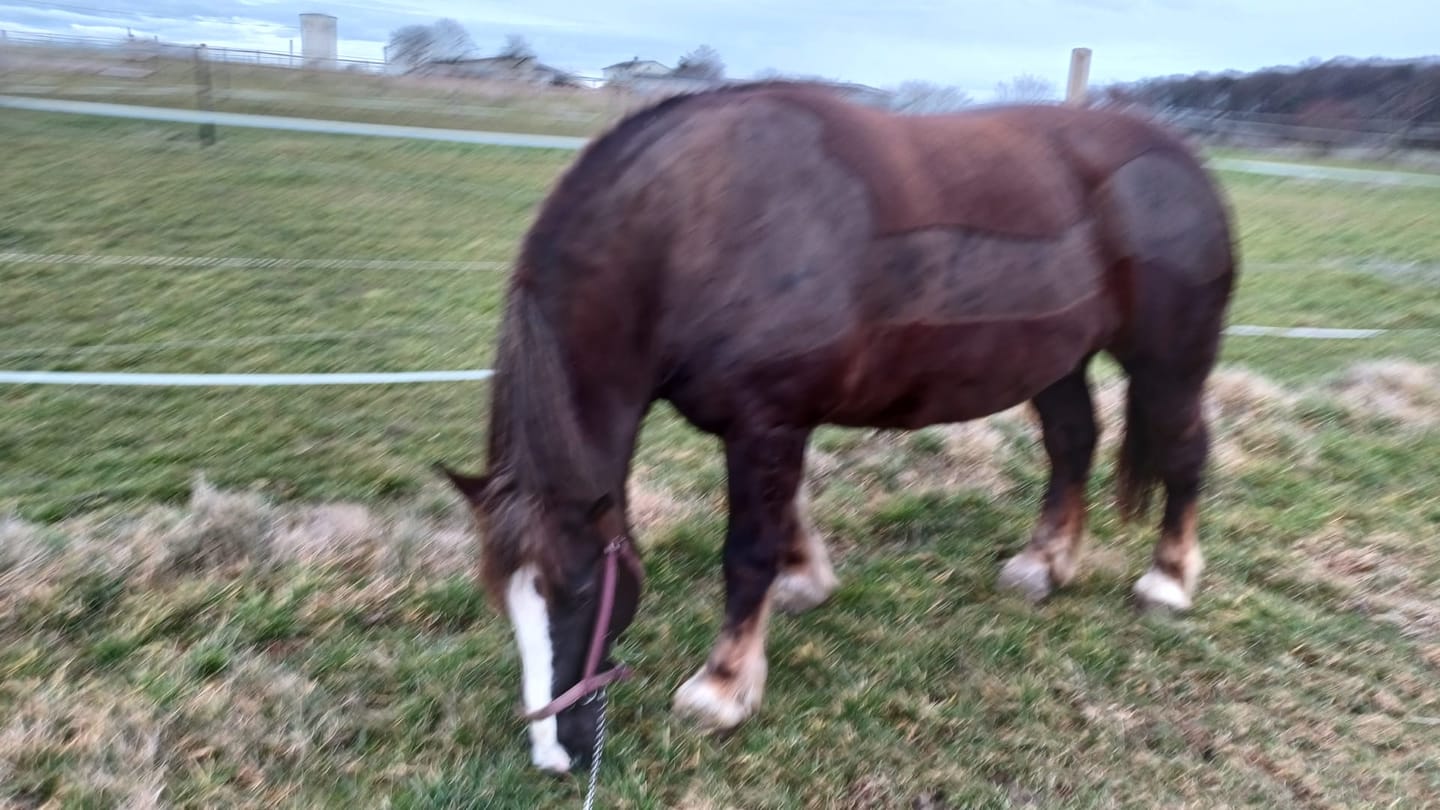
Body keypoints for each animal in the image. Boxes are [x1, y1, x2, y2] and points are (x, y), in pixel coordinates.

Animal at [438, 81, 1237, 772]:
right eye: (505, 599)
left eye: (576, 593)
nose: (556, 754)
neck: (696, 224)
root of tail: (1182, 158)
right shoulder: (768, 426)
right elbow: (786, 516)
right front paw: (806, 583)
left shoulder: (767, 421)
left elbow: (747, 553)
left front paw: (723, 688)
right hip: (1056, 362)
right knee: (1073, 443)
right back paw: (1044, 565)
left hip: (1168, 366)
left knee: (1186, 453)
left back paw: (1167, 581)